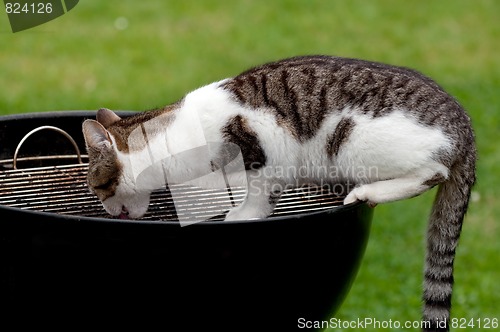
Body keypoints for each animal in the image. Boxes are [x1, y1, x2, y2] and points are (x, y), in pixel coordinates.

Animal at [82, 54, 476, 330]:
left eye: (97, 187)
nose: (105, 209)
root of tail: (465, 127)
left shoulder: (263, 147)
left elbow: (258, 192)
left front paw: (244, 214)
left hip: (355, 141)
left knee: (433, 172)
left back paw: (368, 193)